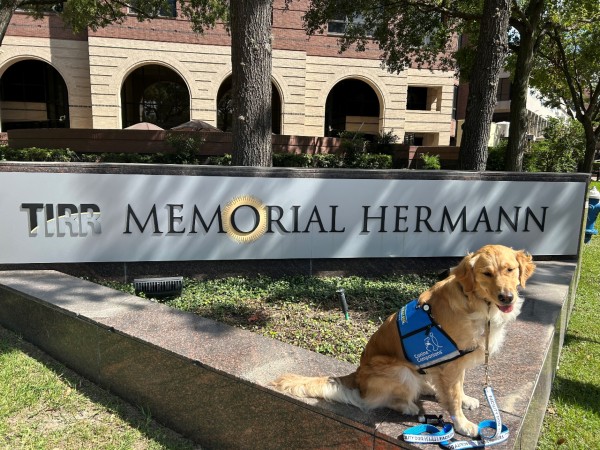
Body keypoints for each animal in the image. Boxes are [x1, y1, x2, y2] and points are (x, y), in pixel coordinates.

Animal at [272, 244, 536, 438]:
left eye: (510, 270)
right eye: (486, 273)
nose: (506, 297)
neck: (478, 303)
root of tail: (356, 375)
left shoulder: (455, 362)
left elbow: (457, 389)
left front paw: (465, 399)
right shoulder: (451, 363)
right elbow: (452, 396)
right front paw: (462, 424)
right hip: (399, 370)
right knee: (383, 400)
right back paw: (409, 406)